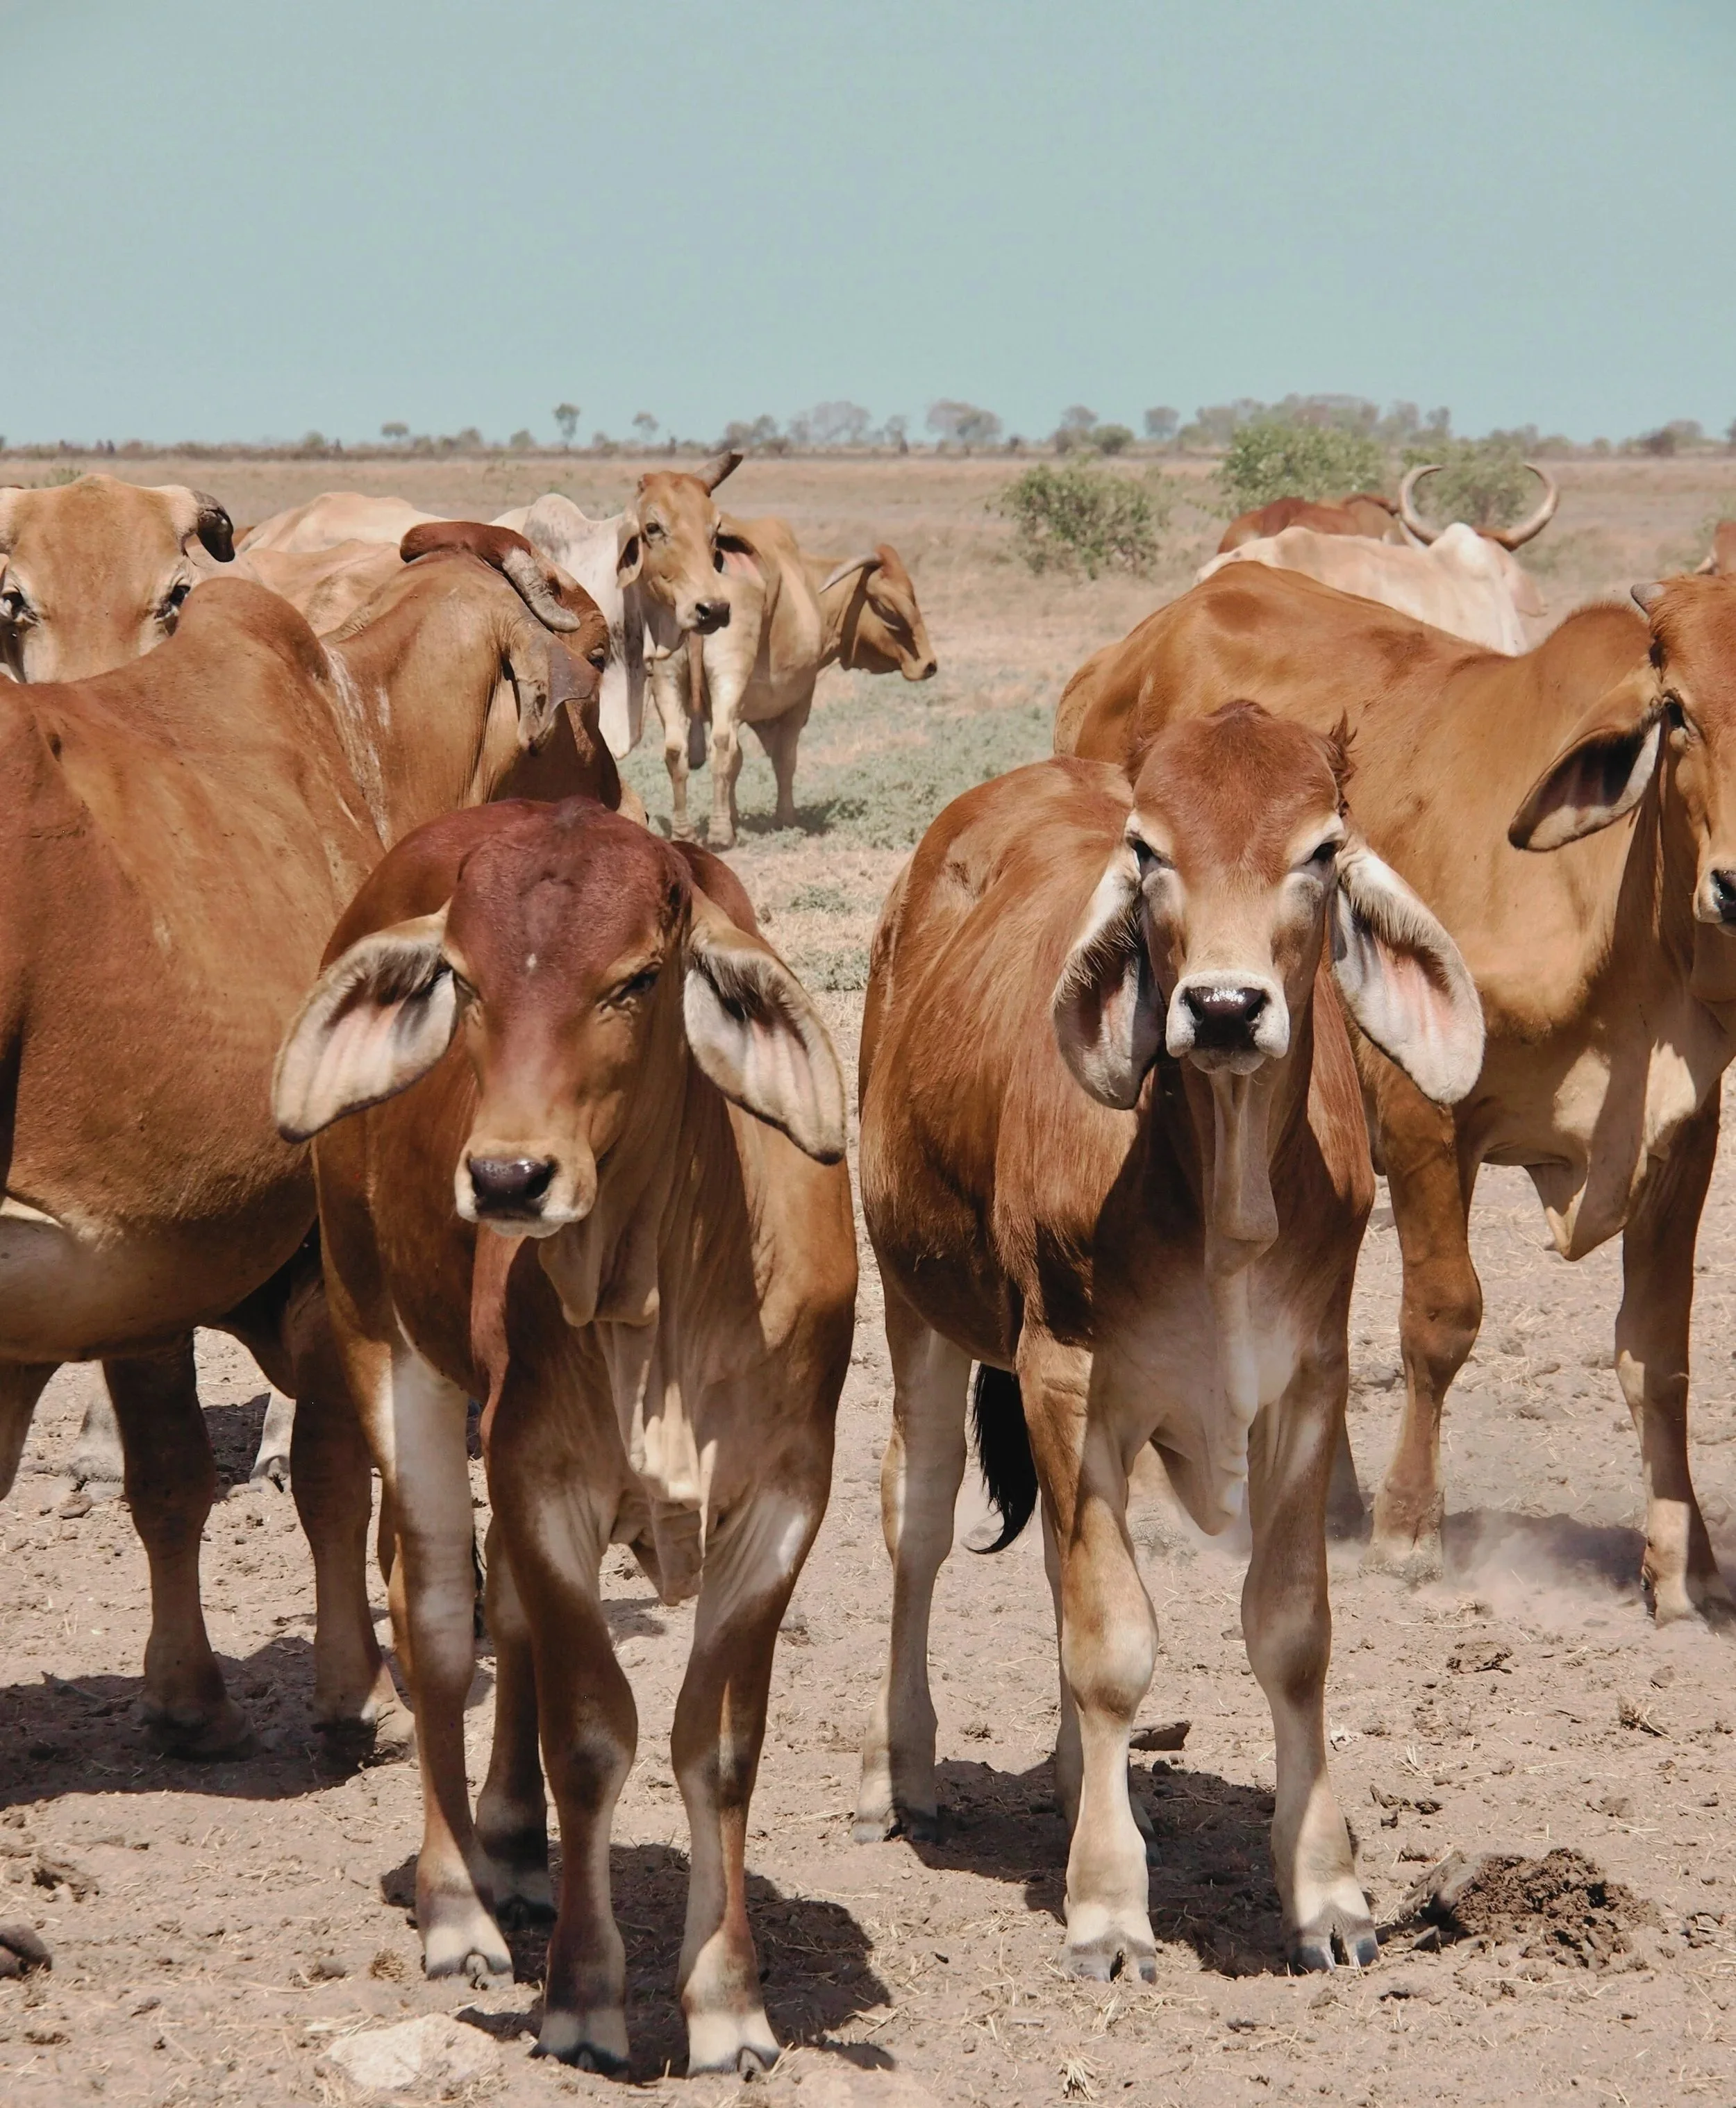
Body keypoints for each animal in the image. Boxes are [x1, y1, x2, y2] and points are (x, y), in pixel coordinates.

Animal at [0, 525, 614, 1761]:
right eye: (609, 653)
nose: (622, 806)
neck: (362, 738)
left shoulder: (141, 1258)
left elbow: (171, 1481)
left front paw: (186, 1697)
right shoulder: (332, 1255)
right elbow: (335, 1474)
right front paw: (359, 1693)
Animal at [271, 797, 855, 2073]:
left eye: (636, 980)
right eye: (463, 979)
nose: (507, 1177)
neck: (659, 1290)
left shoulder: (785, 1497)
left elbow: (717, 1745)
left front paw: (728, 2001)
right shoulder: (541, 1476)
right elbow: (591, 1739)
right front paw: (584, 1996)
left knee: (514, 1626)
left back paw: (514, 1848)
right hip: (387, 1345)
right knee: (440, 1618)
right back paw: (459, 1905)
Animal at [664, 519, 937, 845]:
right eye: (887, 608)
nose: (929, 664)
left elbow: (738, 762)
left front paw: (735, 817)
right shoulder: (798, 701)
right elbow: (784, 760)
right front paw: (785, 818)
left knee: (677, 751)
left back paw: (685, 831)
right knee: (721, 747)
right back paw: (720, 834)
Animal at [851, 706, 1483, 1981]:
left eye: (1321, 849)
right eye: (1148, 852)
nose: (1227, 1008)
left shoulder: (1307, 1386)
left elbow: (1291, 1634)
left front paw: (1328, 1896)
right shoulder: (1067, 1373)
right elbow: (1112, 1646)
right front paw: (1107, 1907)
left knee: (1052, 1564)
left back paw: (1063, 1776)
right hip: (916, 1298)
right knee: (921, 1517)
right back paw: (907, 1773)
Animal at [1056, 560, 1736, 1627]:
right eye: (1677, 712)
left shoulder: (1687, 1129)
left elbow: (1657, 1353)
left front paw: (1683, 1564)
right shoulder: (1426, 1115)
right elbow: (1442, 1319)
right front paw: (1411, 1527)